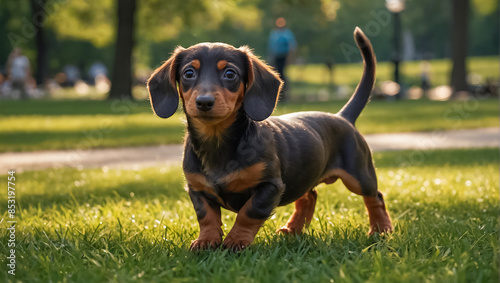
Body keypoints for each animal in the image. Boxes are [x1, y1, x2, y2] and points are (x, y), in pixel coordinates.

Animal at [146, 27, 392, 252]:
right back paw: (293, 230)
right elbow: (206, 216)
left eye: (230, 74)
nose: (204, 102)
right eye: (188, 73)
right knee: (308, 197)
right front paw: (206, 241)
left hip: (358, 175)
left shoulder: (271, 186)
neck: (217, 141)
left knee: (375, 197)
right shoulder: (196, 188)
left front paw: (236, 242)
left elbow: (249, 212)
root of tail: (343, 117)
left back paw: (381, 230)